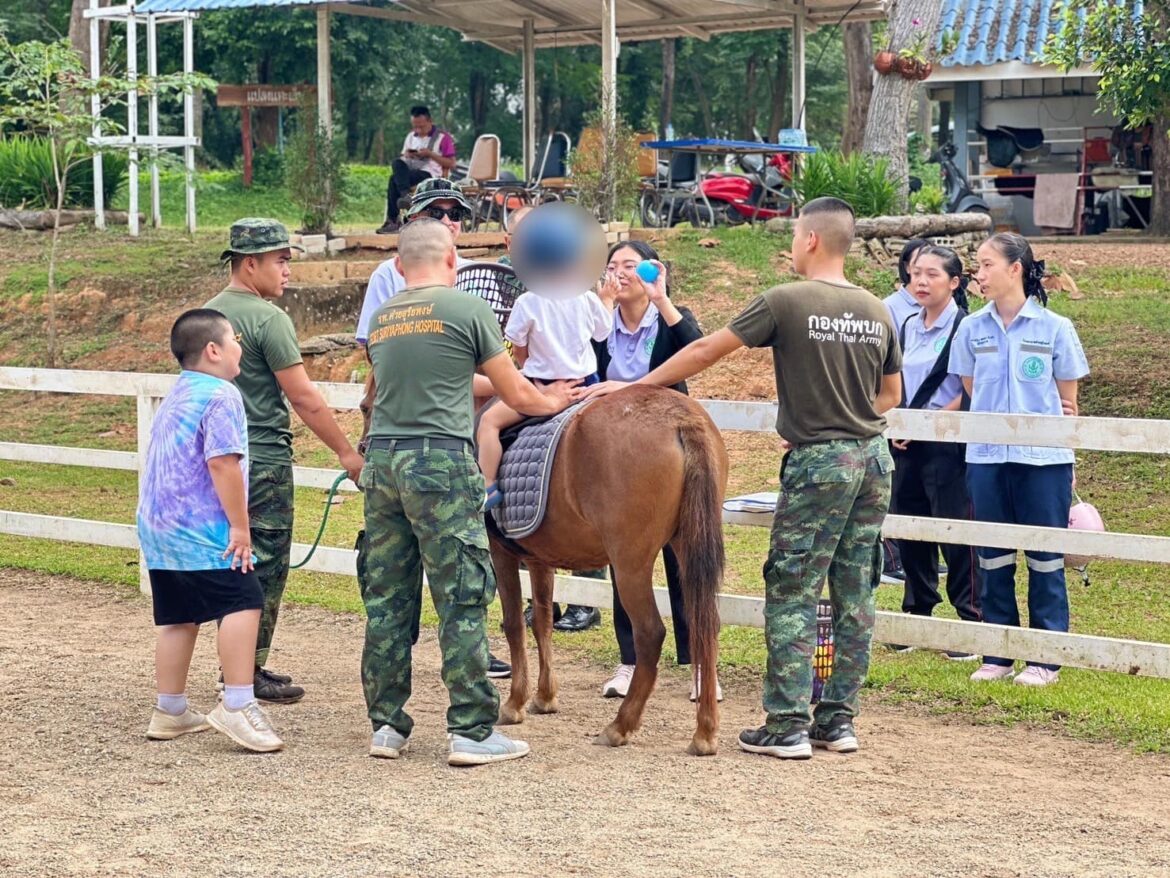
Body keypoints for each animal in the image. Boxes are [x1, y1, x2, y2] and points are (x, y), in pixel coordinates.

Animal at [360, 379, 725, 758]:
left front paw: (514, 703)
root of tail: (680, 417)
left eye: (366, 408)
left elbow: (513, 625)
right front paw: (544, 696)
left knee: (651, 633)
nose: (363, 455)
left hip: (630, 563)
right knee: (705, 625)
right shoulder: (539, 560)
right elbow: (542, 623)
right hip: (686, 548)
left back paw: (620, 725)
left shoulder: (501, 554)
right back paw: (705, 730)